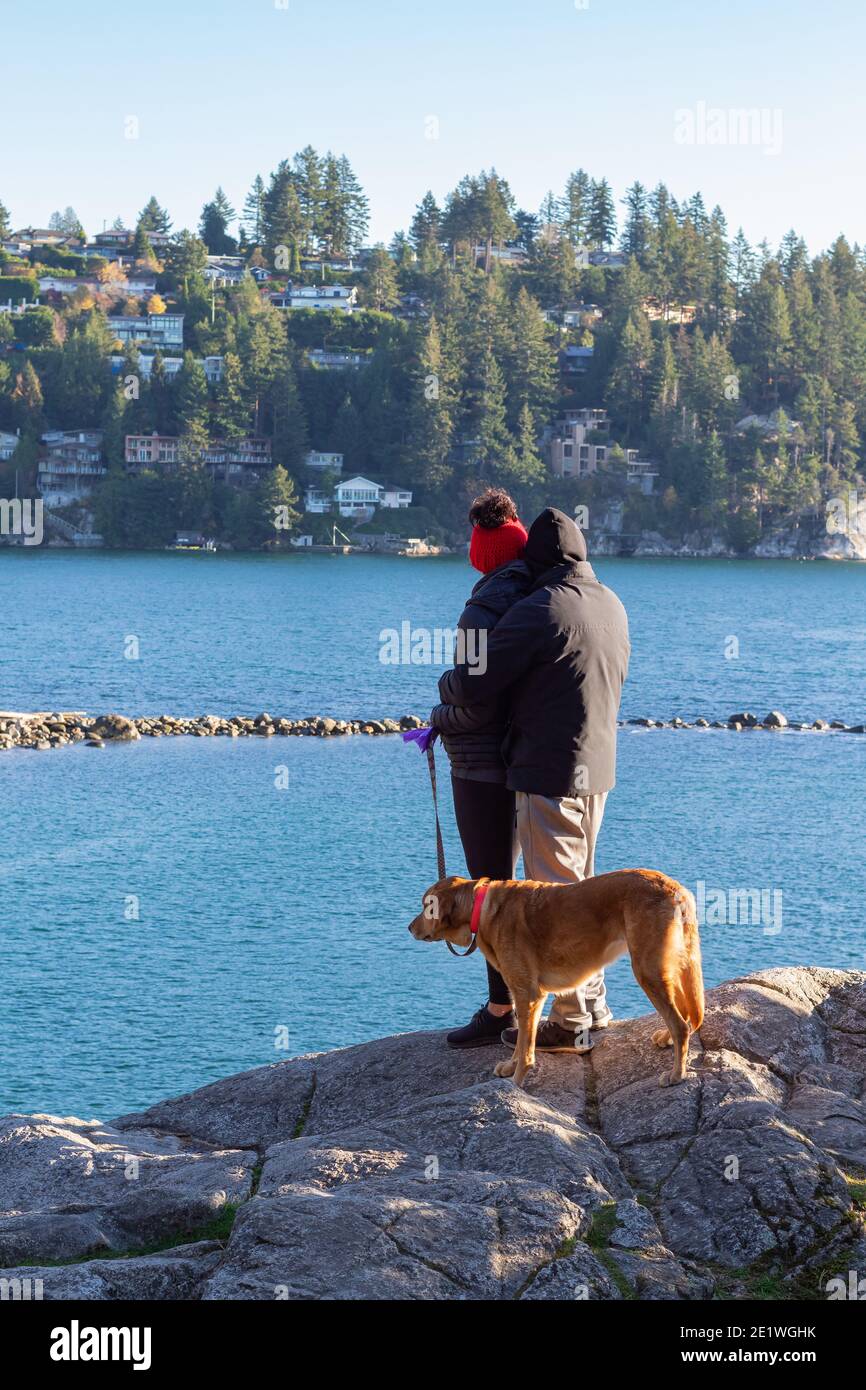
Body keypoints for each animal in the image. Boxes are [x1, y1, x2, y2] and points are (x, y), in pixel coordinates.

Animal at [408, 867, 706, 1084]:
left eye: (425, 906)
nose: (409, 927)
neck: (483, 908)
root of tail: (676, 890)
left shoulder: (528, 994)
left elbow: (526, 1049)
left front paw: (517, 1083)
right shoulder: (527, 996)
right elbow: (521, 1040)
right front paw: (511, 1067)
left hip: (647, 969)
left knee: (680, 1024)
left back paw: (677, 1074)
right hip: (669, 966)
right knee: (684, 1016)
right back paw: (667, 1039)